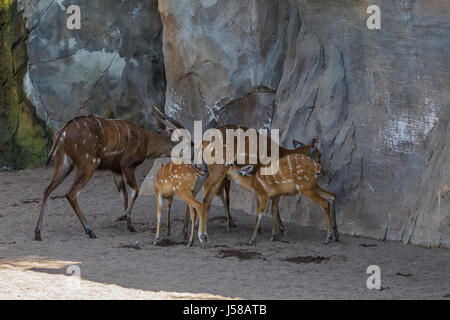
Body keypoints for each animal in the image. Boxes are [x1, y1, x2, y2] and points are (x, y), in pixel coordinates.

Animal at [34, 115, 178, 240]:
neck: (146, 141)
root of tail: (62, 133)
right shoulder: (127, 165)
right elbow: (135, 191)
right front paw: (122, 218)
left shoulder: (116, 170)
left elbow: (124, 196)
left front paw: (130, 226)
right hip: (89, 163)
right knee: (71, 193)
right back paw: (90, 230)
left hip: (64, 164)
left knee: (46, 190)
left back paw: (38, 233)